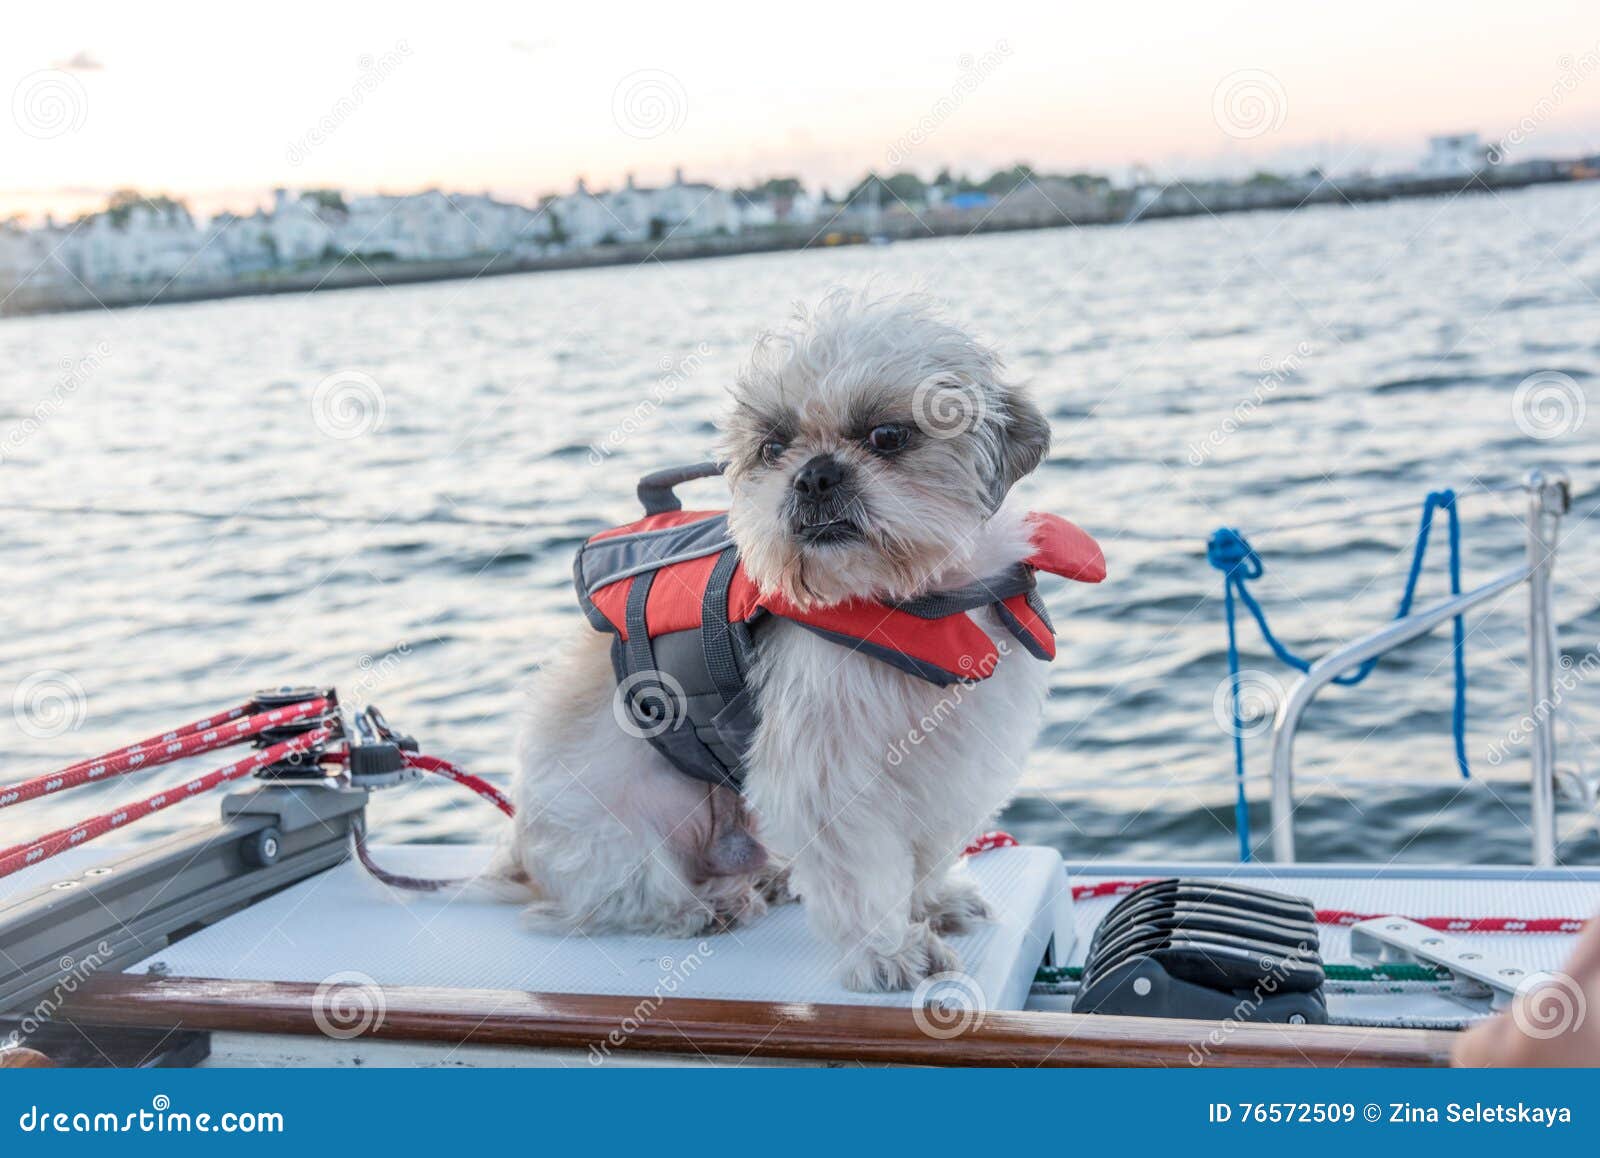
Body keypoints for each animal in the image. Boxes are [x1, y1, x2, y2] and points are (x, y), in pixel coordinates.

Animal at [486, 287, 1062, 985]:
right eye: (772, 446)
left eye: (888, 436)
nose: (813, 474)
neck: (917, 598)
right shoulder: (831, 776)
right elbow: (862, 876)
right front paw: (890, 952)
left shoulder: (954, 758)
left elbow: (928, 848)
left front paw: (933, 903)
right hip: (615, 835)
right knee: (619, 899)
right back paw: (707, 907)